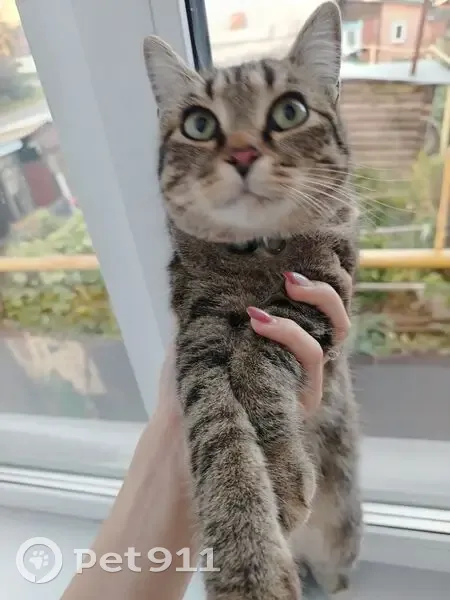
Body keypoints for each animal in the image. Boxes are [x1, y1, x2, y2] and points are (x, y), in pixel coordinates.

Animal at [143, 2, 362, 599]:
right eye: (199, 124)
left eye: (290, 111)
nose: (242, 152)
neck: (257, 255)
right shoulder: (198, 336)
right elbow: (219, 434)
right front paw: (250, 567)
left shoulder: (318, 293)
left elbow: (259, 368)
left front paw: (281, 469)